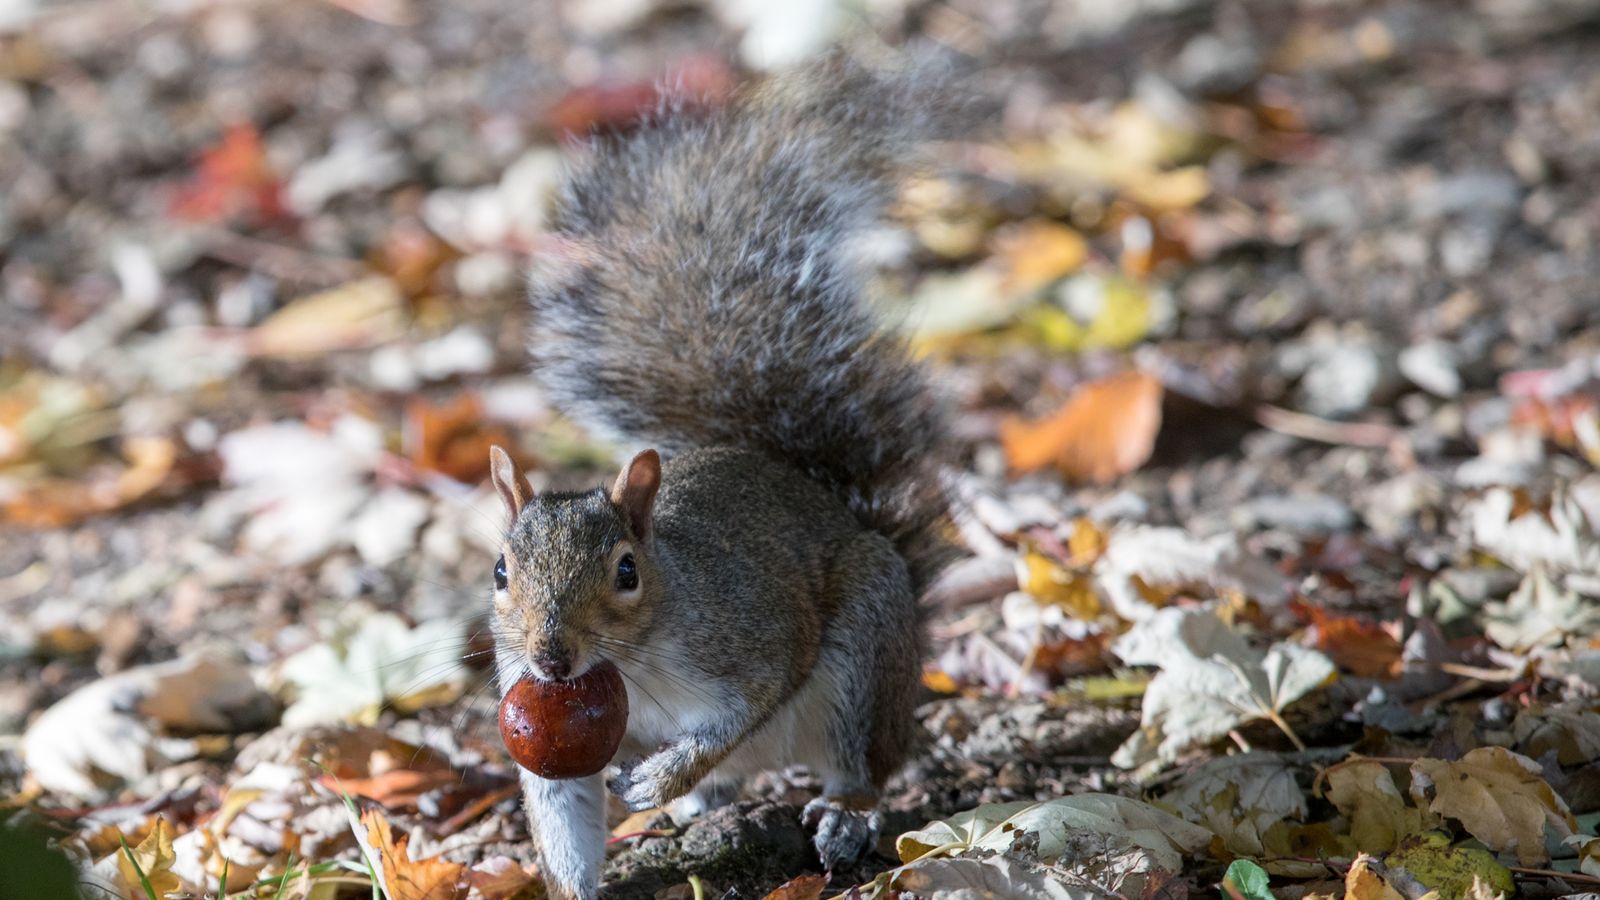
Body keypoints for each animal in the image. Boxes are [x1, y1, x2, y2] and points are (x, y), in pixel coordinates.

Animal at [483, 52, 960, 890]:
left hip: (865, 657)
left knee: (861, 766)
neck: (626, 667)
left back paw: (838, 817)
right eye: (502, 572)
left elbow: (737, 713)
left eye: (627, 571)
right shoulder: (536, 720)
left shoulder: (751, 637)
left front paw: (665, 776)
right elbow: (563, 814)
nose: (550, 657)